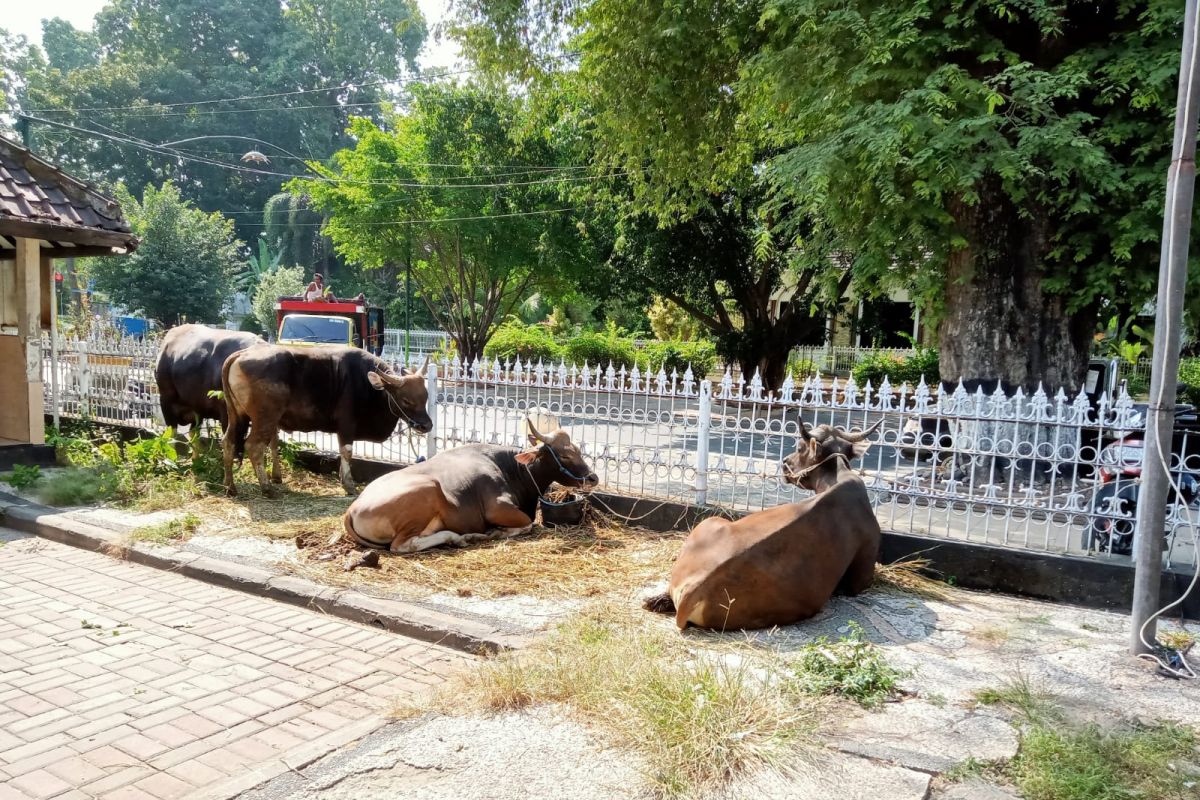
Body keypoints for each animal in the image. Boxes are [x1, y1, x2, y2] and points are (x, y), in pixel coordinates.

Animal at [223, 345, 434, 494]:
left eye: (425, 397)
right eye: (406, 400)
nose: (426, 425)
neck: (369, 385)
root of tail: (240, 354)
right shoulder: (347, 425)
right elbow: (347, 451)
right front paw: (349, 485)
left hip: (237, 415)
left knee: (229, 441)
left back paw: (230, 487)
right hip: (265, 418)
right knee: (254, 446)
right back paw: (266, 488)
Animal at [343, 417, 595, 554]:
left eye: (578, 450)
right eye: (565, 455)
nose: (593, 478)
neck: (511, 469)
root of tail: (352, 509)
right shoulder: (497, 508)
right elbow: (528, 523)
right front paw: (497, 531)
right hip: (428, 490)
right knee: (402, 545)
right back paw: (460, 537)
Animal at [643, 419, 888, 633]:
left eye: (799, 447)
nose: (785, 463)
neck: (841, 479)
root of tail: (692, 591)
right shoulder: (860, 579)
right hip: (711, 520)